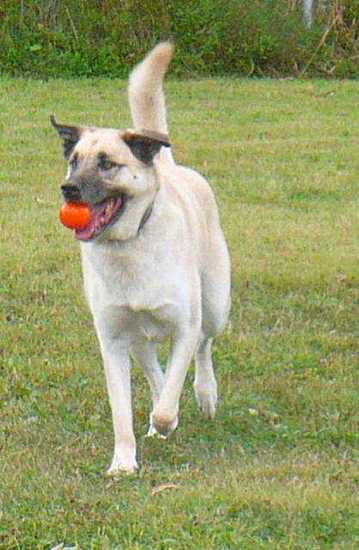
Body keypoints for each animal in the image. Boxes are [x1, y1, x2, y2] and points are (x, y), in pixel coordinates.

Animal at [50, 42, 231, 474]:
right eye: (73, 161)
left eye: (107, 163)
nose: (68, 189)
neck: (129, 244)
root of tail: (166, 163)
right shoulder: (113, 339)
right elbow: (124, 410)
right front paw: (123, 463)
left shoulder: (184, 326)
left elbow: (171, 393)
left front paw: (166, 421)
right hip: (136, 338)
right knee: (153, 370)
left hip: (216, 304)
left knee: (204, 346)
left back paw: (204, 394)